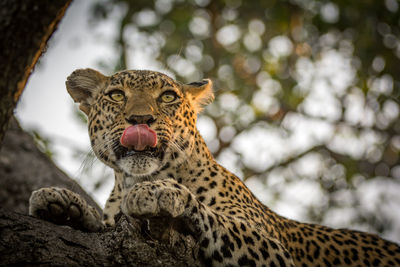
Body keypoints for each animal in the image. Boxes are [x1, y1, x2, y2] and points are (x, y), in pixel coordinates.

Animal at [29, 68, 400, 266]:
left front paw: (160, 193)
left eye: (167, 97)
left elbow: (213, 216)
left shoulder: (273, 250)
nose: (140, 119)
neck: (132, 179)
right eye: (117, 95)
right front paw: (62, 203)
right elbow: (101, 225)